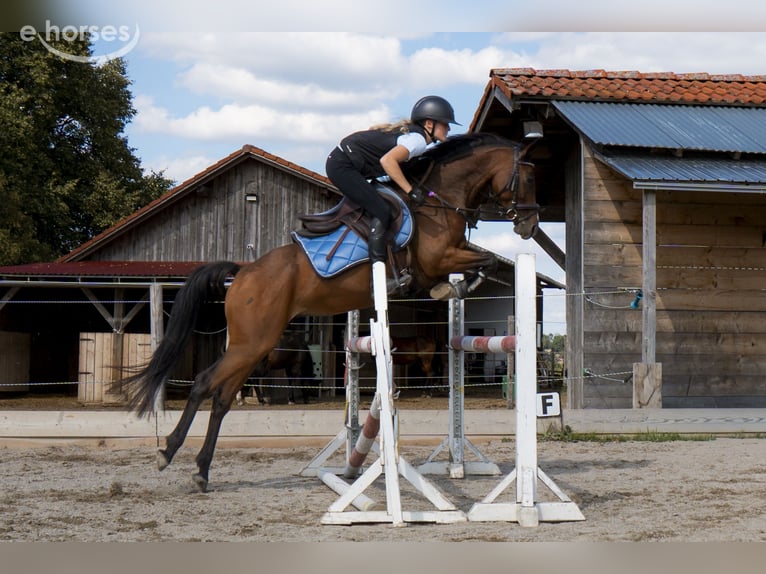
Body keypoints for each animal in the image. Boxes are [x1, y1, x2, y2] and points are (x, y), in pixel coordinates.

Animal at [119, 133, 539, 492]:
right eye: (529, 178)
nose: (530, 224)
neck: (434, 200)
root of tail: (243, 273)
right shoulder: (439, 258)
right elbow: (483, 260)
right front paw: (456, 286)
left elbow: (481, 260)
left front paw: (455, 286)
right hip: (251, 344)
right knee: (205, 384)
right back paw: (169, 452)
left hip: (252, 347)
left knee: (221, 399)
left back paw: (201, 470)